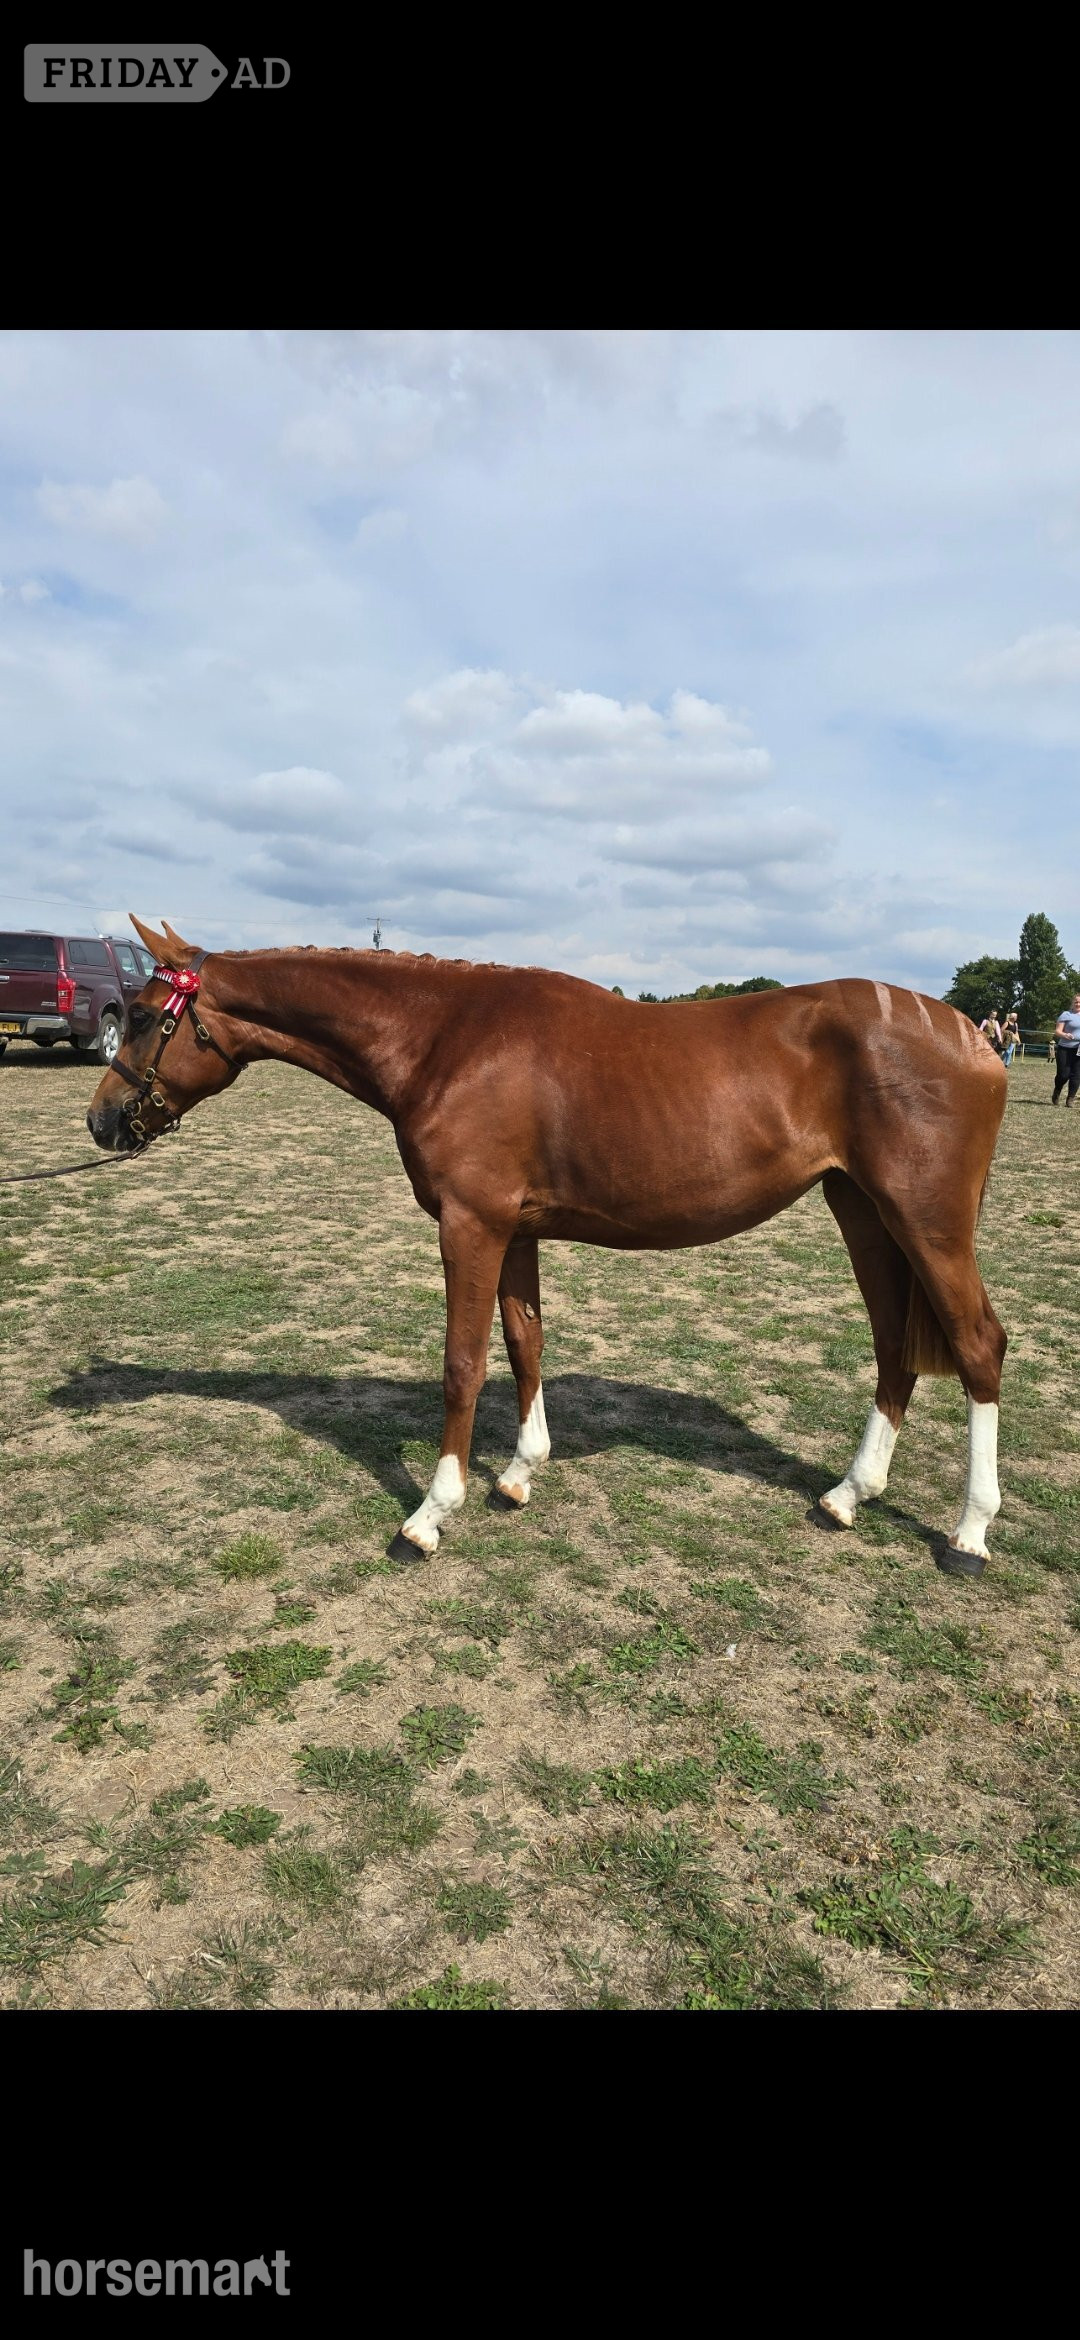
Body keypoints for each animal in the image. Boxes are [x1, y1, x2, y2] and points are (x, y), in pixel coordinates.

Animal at [86, 919, 1009, 1576]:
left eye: (146, 1018)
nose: (100, 1122)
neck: (445, 1038)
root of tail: (973, 1036)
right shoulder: (516, 1228)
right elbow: (525, 1340)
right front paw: (520, 1473)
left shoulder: (471, 1224)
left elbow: (463, 1362)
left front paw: (430, 1515)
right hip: (864, 1214)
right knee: (894, 1346)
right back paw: (850, 1495)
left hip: (925, 1222)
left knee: (977, 1346)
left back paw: (968, 1533)